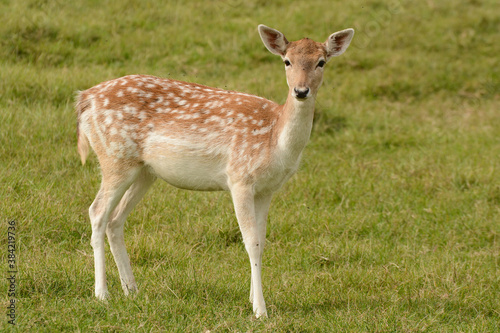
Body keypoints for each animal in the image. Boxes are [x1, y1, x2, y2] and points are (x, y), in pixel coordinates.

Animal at [76, 24, 354, 316]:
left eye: (321, 62)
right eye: (287, 61)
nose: (301, 91)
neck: (274, 139)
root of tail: (84, 99)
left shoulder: (266, 190)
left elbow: (262, 242)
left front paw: (253, 299)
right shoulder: (239, 177)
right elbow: (251, 242)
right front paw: (260, 311)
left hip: (144, 171)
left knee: (115, 219)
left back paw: (131, 290)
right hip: (115, 157)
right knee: (97, 212)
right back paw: (102, 294)